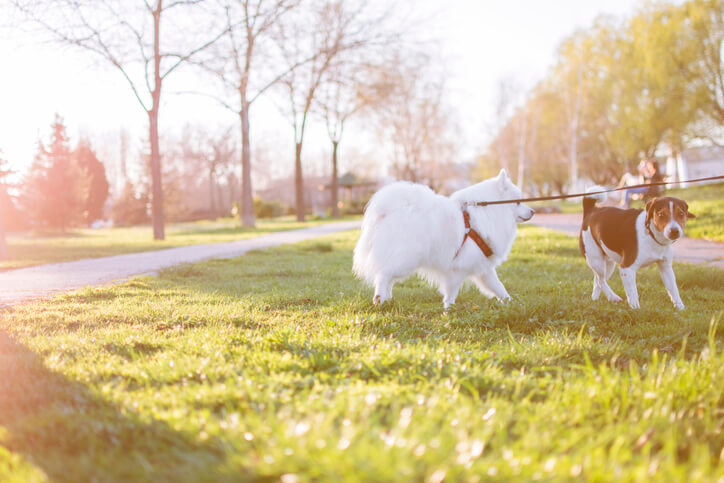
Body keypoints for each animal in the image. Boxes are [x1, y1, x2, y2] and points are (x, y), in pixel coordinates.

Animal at [354, 172, 536, 308]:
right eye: (518, 202)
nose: (533, 211)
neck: (490, 212)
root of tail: (388, 211)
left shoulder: (483, 267)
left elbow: (499, 287)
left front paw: (512, 303)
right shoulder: (458, 268)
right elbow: (452, 292)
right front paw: (449, 310)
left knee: (388, 276)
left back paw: (387, 299)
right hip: (406, 259)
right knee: (383, 274)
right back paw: (379, 299)